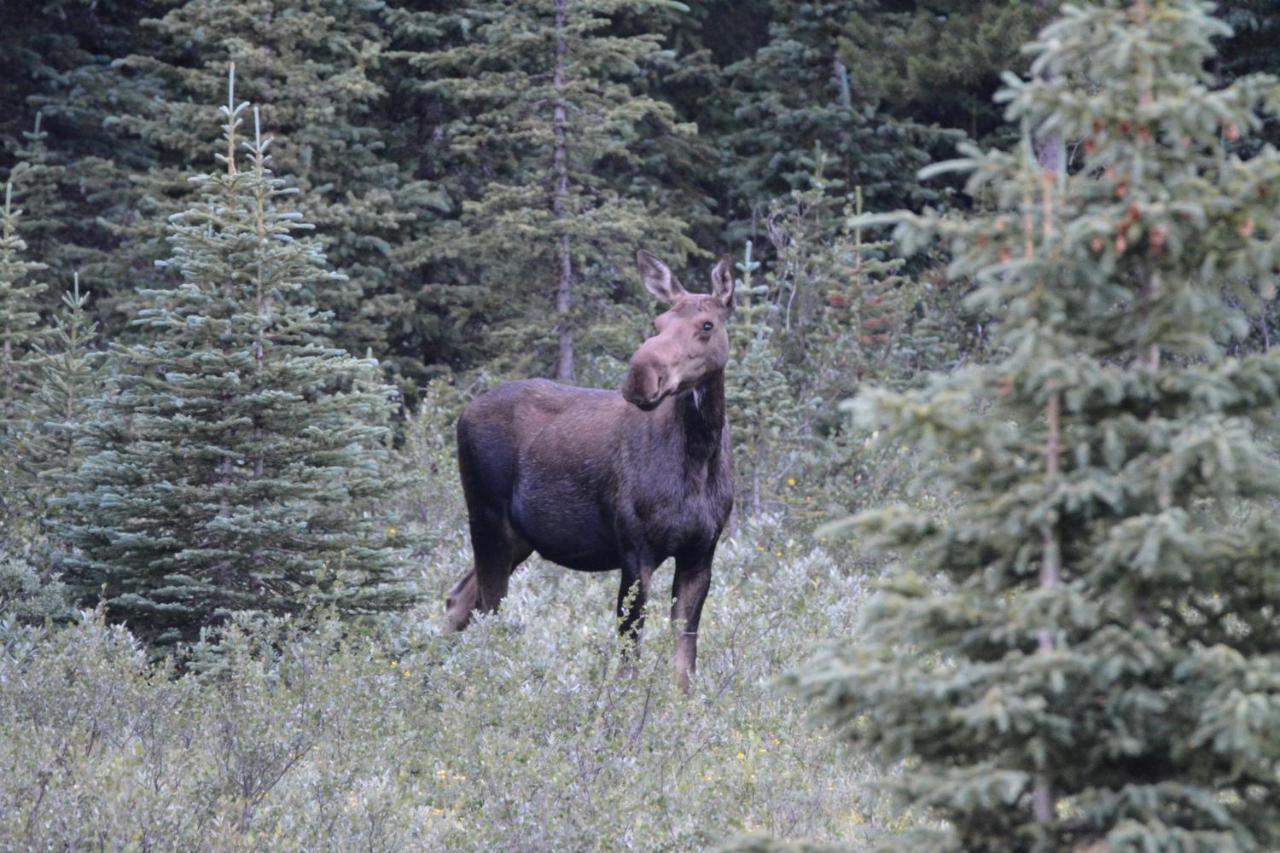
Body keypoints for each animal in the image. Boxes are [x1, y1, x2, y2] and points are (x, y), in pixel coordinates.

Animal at [445, 249, 737, 686]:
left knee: (460, 601)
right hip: (486, 518)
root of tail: (462, 415)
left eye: (707, 325)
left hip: (518, 537)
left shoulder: (701, 550)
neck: (700, 457)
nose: (640, 376)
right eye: (658, 323)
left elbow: (684, 663)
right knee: (486, 609)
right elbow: (629, 654)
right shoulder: (635, 548)